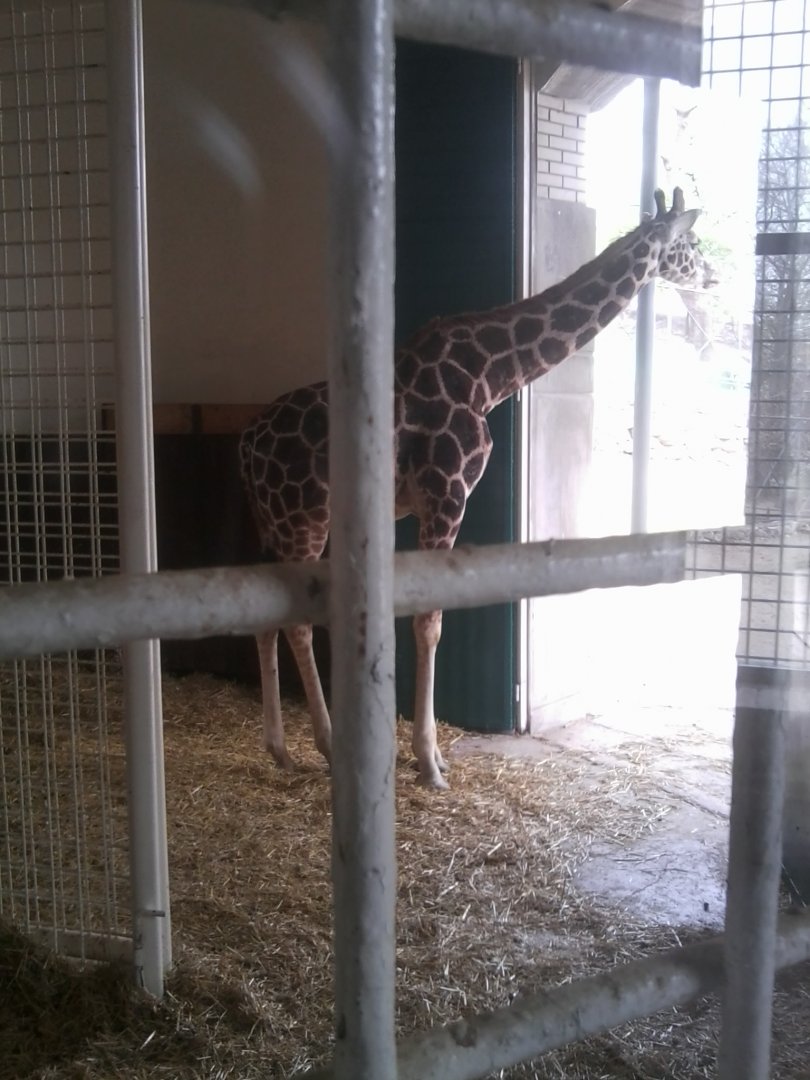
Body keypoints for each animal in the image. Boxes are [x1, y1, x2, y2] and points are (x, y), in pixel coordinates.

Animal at [240, 187, 714, 789]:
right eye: (691, 245)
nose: (714, 275)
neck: (492, 375)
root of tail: (247, 444)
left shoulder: (424, 508)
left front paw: (430, 755)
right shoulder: (448, 495)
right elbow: (429, 622)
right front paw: (429, 761)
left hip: (274, 519)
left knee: (266, 616)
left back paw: (280, 749)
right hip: (303, 517)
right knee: (298, 622)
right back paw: (326, 746)